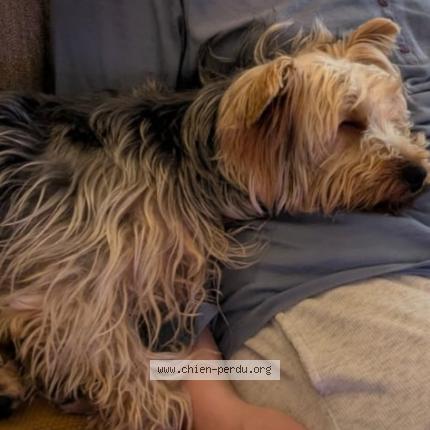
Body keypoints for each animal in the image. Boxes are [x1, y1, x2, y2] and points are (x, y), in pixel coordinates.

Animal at [0, 17, 428, 430]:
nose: (418, 173)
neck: (190, 156)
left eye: (393, 118)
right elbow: (100, 337)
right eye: (348, 124)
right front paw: (153, 407)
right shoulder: (71, 272)